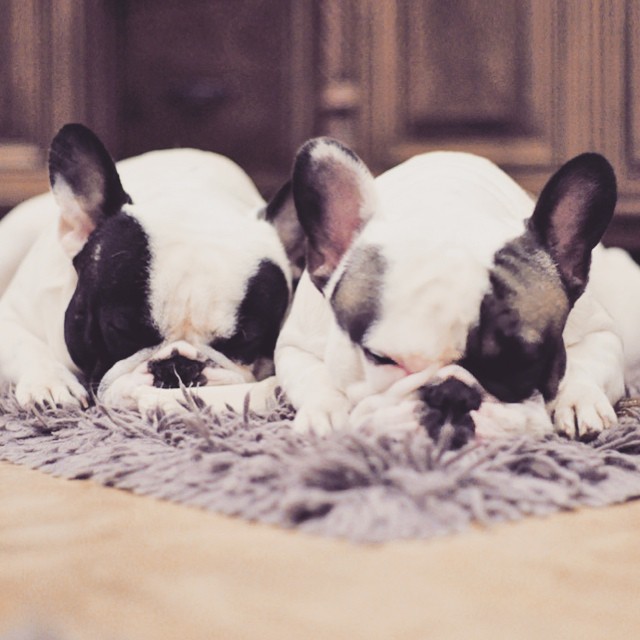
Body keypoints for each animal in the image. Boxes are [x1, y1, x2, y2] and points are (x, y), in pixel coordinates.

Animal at [272, 138, 640, 440]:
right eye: (380, 358)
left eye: (523, 362)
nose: (452, 394)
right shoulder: (295, 346)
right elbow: (315, 378)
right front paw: (325, 412)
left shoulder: (601, 333)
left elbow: (584, 366)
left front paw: (580, 402)